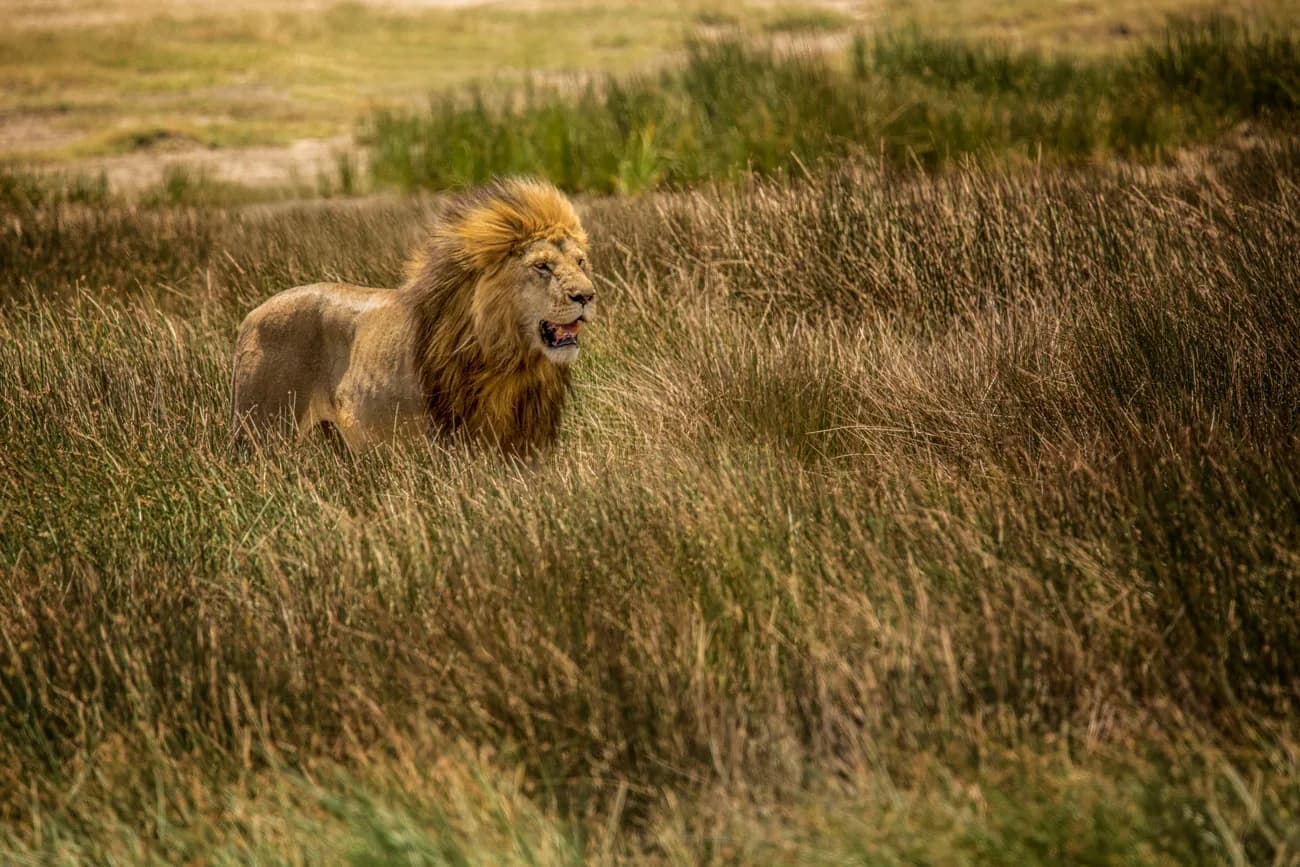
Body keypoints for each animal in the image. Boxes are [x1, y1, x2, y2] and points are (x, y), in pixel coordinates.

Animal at [230, 177, 594, 454]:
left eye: (580, 262)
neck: (513, 364)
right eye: (542, 266)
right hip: (261, 434)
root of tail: (250, 316)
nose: (587, 296)